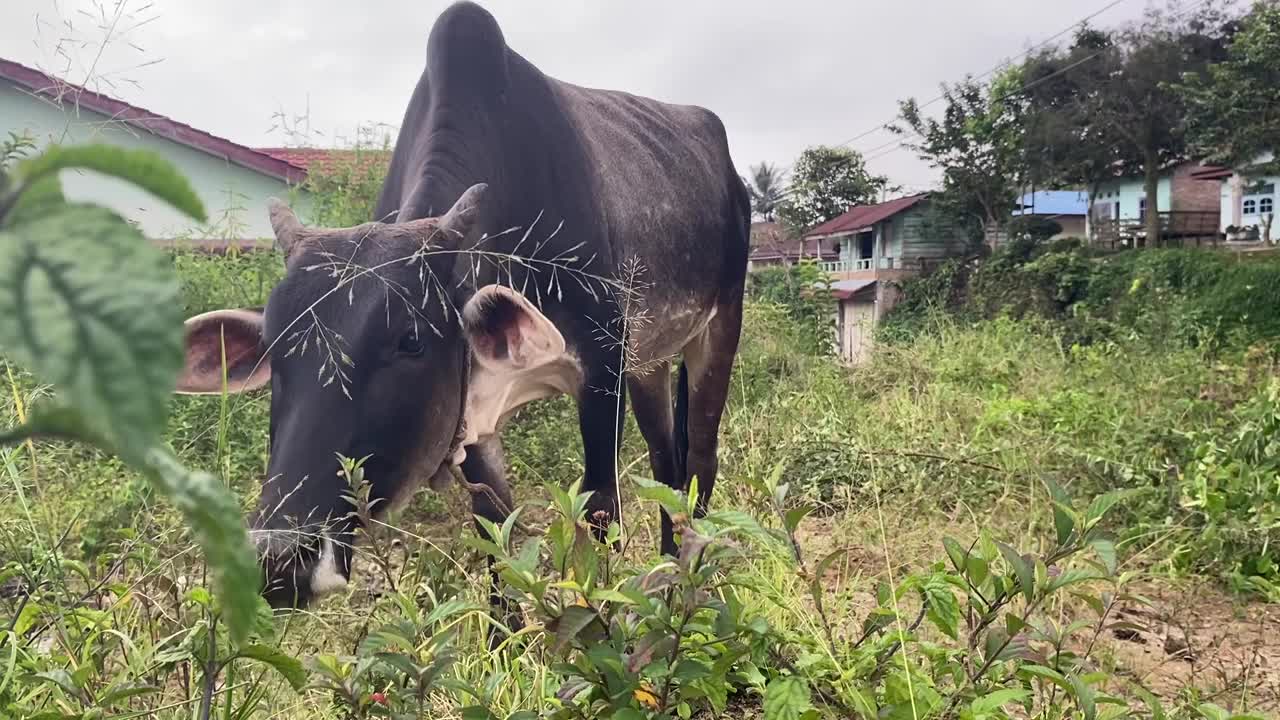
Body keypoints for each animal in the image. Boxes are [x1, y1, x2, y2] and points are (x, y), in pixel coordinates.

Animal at [172, 0, 747, 604]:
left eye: (410, 341)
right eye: (273, 350)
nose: (280, 560)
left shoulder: (601, 370)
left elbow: (601, 515)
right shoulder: (475, 414)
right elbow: (497, 543)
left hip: (718, 327)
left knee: (699, 457)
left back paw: (689, 583)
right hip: (650, 360)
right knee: (665, 461)